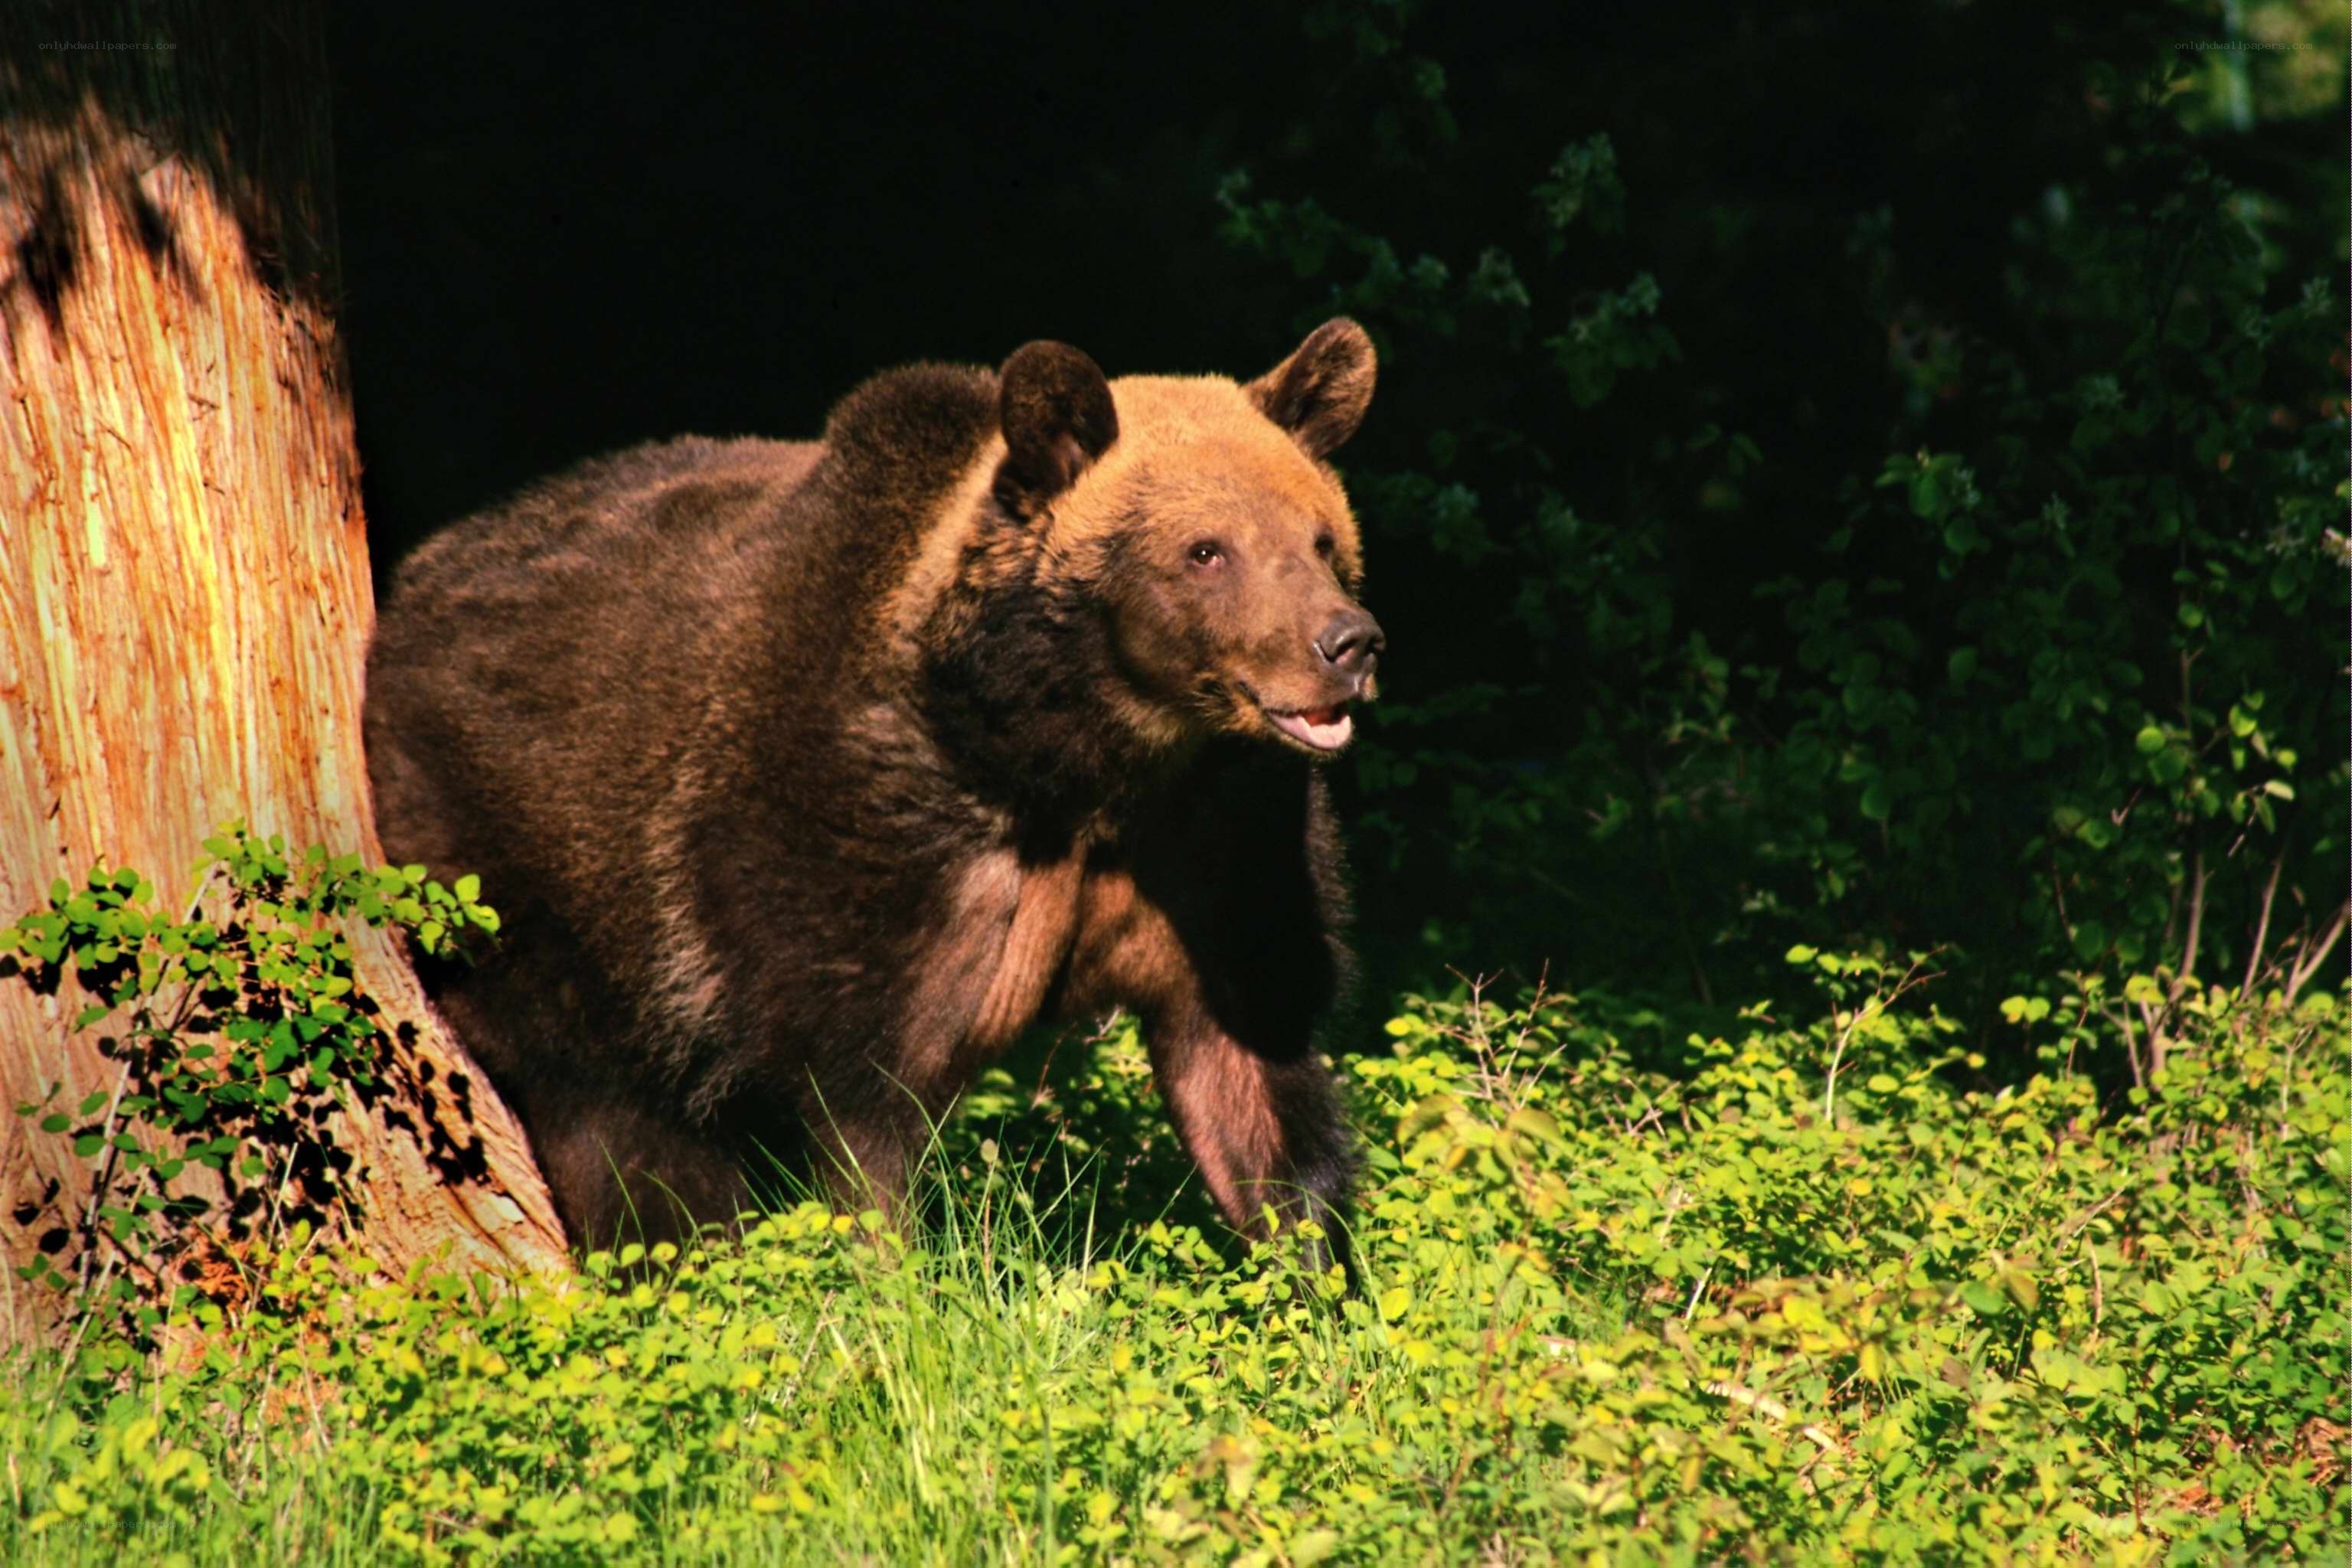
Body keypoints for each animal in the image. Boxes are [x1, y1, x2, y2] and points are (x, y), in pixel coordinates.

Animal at [363, 320, 1384, 1274]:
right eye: (1207, 549)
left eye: (1322, 538)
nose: (1349, 642)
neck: (1072, 754)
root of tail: (414, 582)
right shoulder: (858, 850)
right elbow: (865, 1126)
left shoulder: (1218, 851)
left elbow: (1254, 1086)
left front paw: (1314, 1286)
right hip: (525, 883)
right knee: (620, 1124)